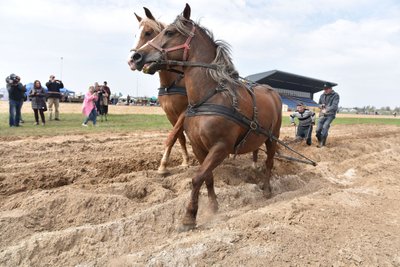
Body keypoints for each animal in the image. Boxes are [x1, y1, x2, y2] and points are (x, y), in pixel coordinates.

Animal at [128, 7, 191, 175]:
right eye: (135, 34)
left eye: (148, 32)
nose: (131, 60)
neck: (174, 80)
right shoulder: (170, 113)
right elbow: (180, 137)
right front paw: (185, 162)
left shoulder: (185, 111)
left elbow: (172, 136)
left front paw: (163, 165)